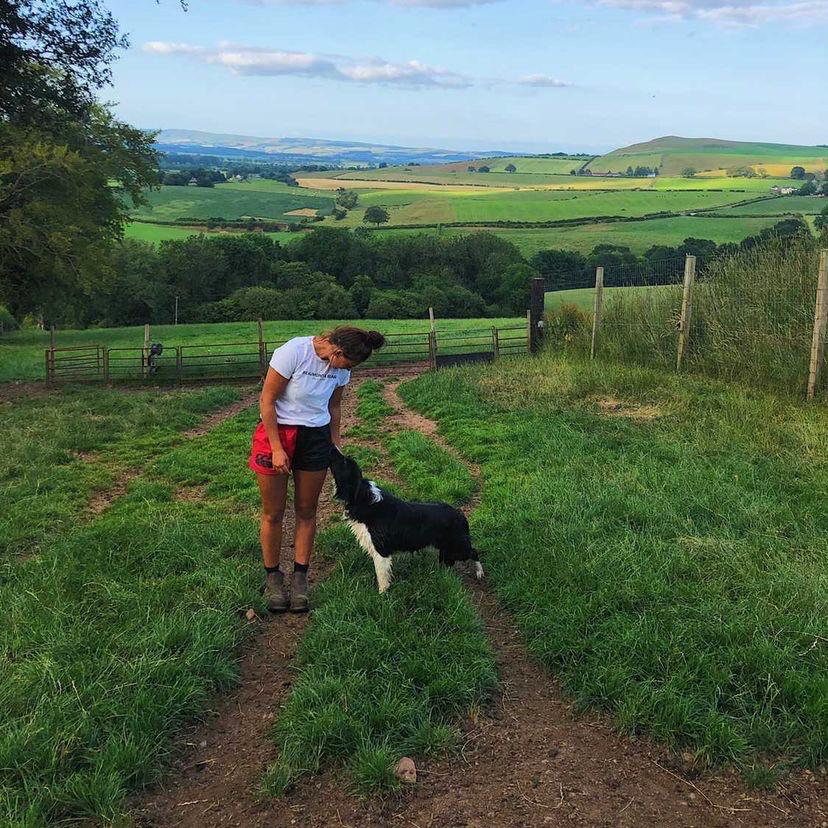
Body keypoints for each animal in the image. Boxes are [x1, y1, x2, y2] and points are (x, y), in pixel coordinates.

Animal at [330, 446, 486, 588]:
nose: (332, 447)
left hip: (458, 547)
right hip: (447, 548)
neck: (362, 497)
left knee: (474, 552)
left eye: (344, 462)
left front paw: (382, 595)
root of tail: (460, 514)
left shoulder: (381, 550)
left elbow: (382, 577)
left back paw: (480, 573)